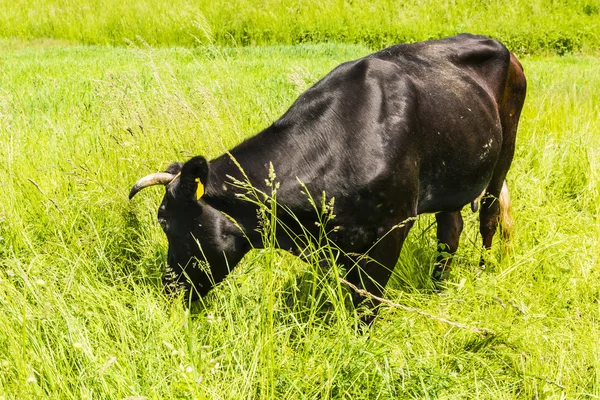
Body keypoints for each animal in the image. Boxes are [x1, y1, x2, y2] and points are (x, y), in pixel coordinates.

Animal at [130, 33, 524, 322]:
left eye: (165, 222)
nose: (169, 290)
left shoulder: (393, 229)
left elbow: (368, 302)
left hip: (505, 149)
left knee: (489, 215)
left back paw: (484, 271)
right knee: (450, 229)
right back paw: (438, 285)